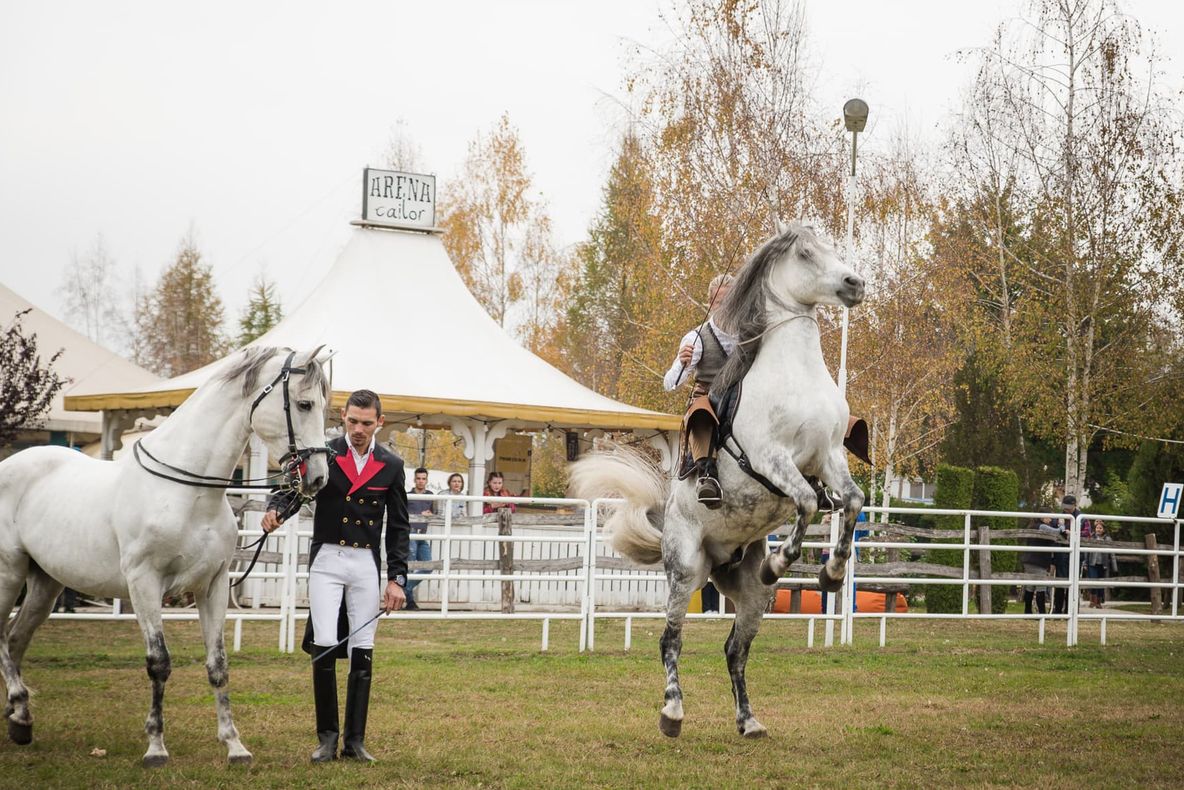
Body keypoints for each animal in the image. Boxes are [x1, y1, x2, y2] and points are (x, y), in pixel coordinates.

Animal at [0, 346, 331, 766]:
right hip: (9, 575)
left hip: (45, 585)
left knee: (15, 639)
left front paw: (234, 745)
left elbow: (218, 664)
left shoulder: (213, 586)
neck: (188, 492)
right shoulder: (144, 584)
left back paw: (20, 718)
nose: (319, 478)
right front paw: (156, 747)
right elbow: (159, 663)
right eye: (304, 404)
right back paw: (18, 705)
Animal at [570, 222, 866, 739]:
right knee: (670, 641)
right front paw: (782, 560)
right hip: (686, 570)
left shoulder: (828, 457)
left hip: (750, 596)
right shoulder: (771, 459)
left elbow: (851, 500)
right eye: (807, 254)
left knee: (735, 649)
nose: (855, 284)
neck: (796, 376)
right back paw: (672, 713)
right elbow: (808, 502)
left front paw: (831, 572)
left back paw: (749, 720)